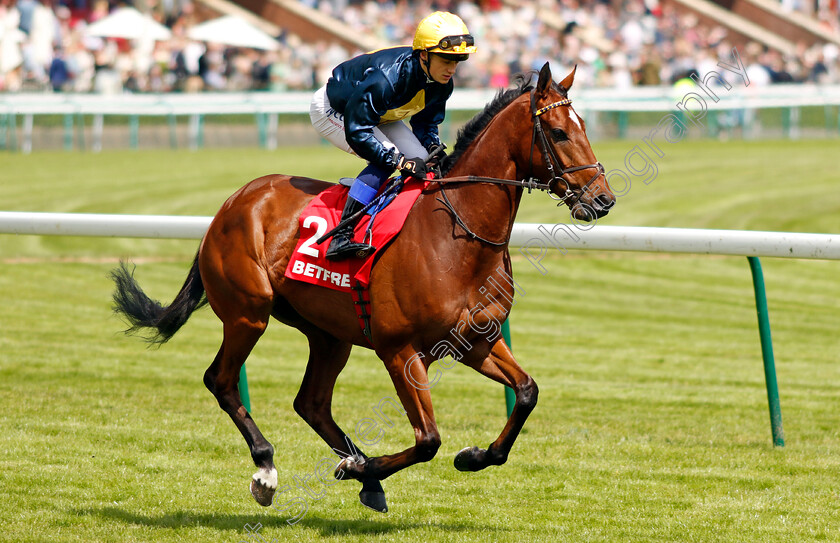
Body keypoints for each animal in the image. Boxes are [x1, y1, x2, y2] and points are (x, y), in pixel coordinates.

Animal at [110, 63, 616, 516]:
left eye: (583, 128)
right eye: (559, 132)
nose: (602, 199)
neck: (457, 236)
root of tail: (233, 202)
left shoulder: (475, 342)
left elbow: (527, 393)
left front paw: (471, 457)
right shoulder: (399, 350)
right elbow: (428, 440)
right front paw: (367, 467)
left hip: (328, 333)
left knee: (311, 403)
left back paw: (361, 474)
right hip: (247, 313)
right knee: (221, 380)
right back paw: (269, 470)